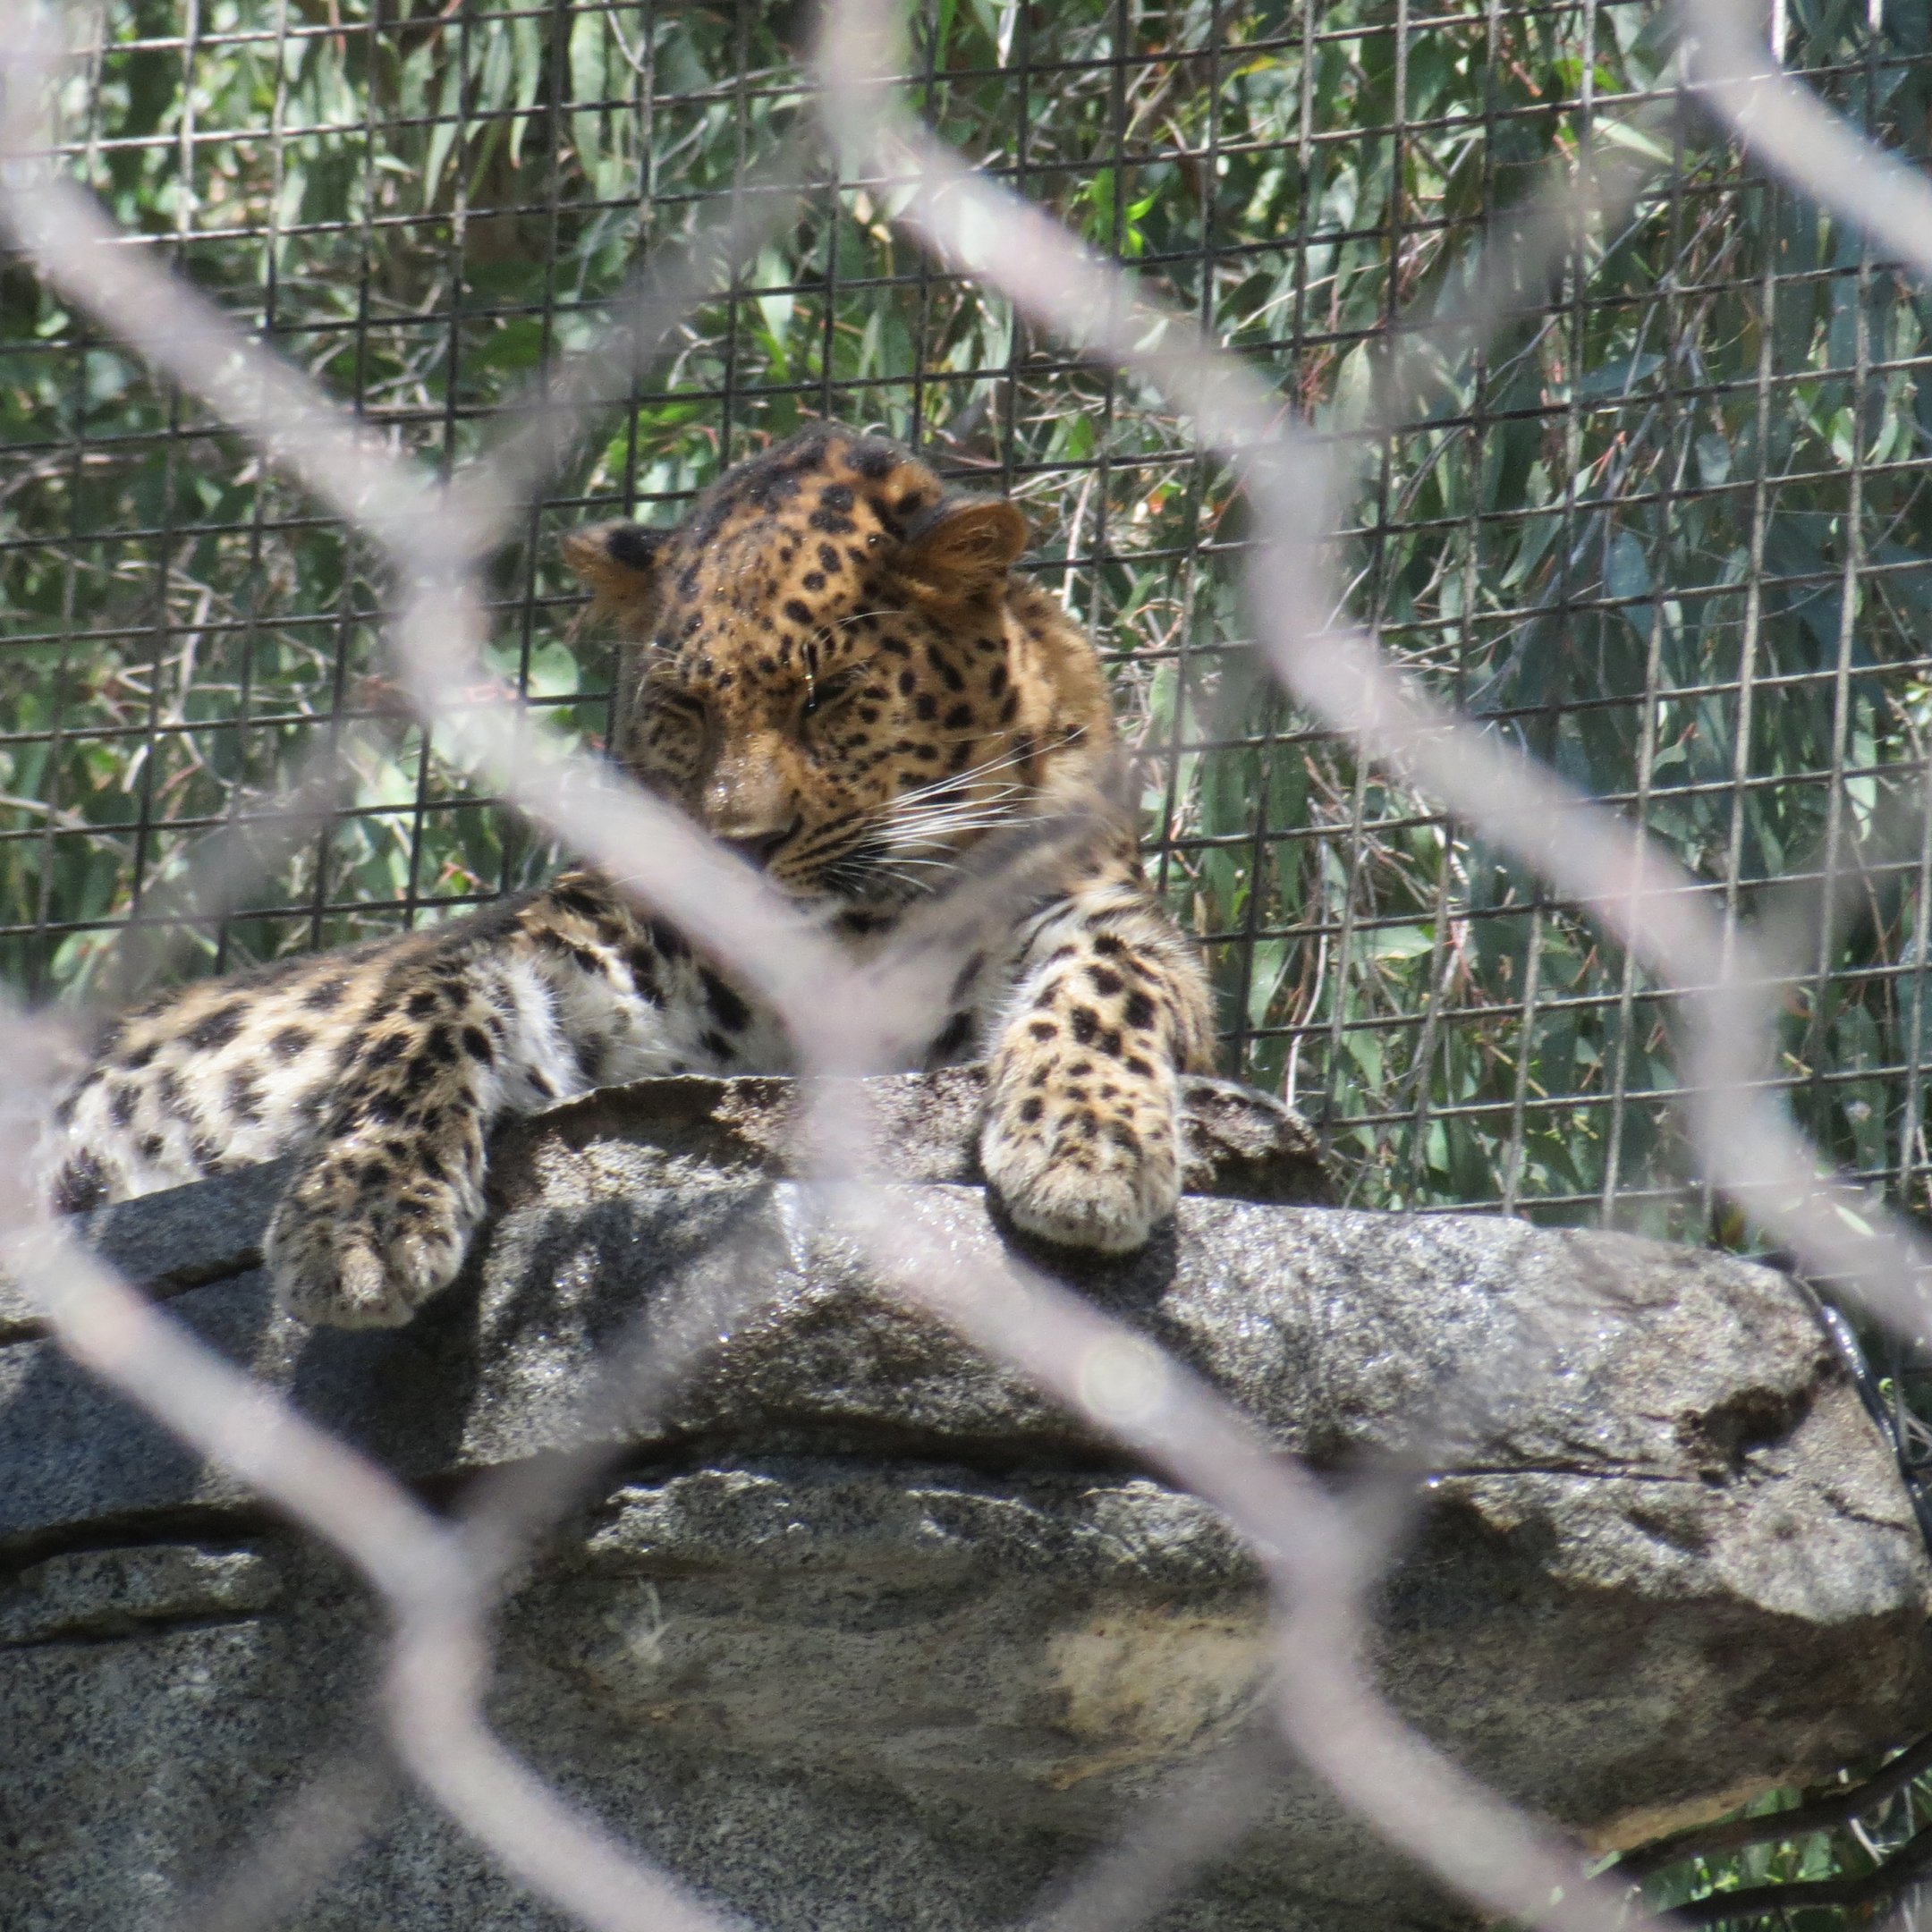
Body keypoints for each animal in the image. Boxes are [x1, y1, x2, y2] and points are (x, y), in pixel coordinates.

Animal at [34, 423, 1217, 1328]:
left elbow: (1109, 985)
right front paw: (357, 1221)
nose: (745, 845)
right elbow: (424, 1012)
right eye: (684, 708)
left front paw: (1089, 1151)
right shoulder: (580, 960)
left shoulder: (1095, 911)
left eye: (829, 696)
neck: (850, 933)